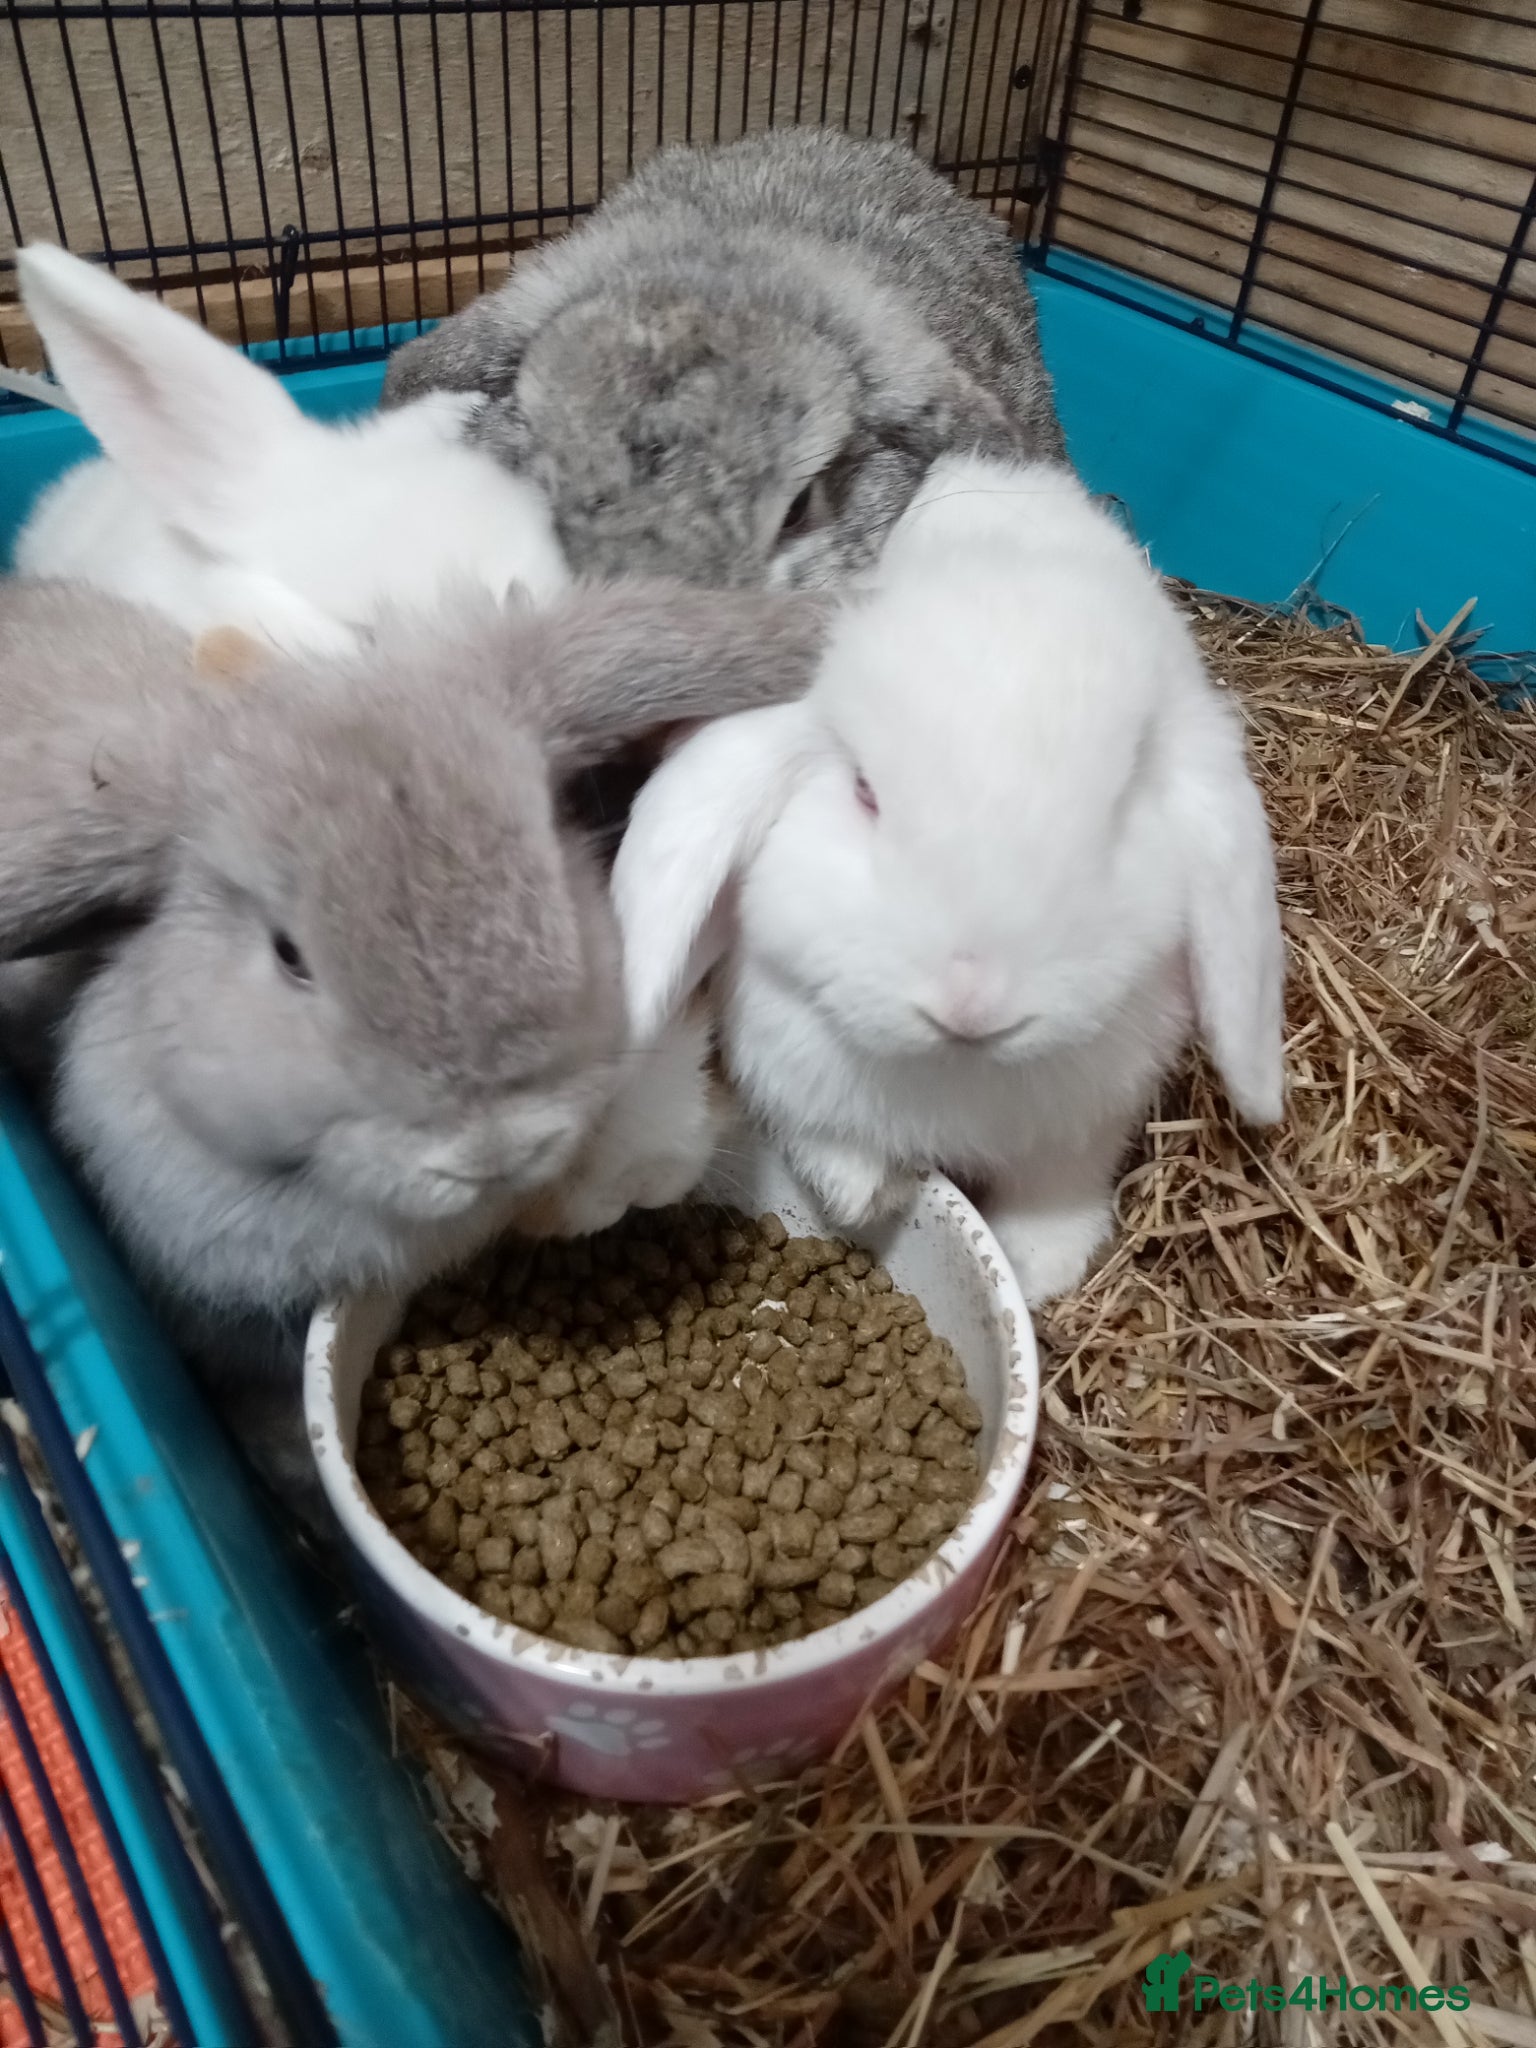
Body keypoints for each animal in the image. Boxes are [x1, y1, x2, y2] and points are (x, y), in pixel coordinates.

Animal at [611, 453, 1286, 1306]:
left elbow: (1056, 1191)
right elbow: (830, 1143)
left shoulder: (1084, 1125)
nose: (973, 1006)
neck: (955, 1073)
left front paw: (1039, 1269)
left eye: (1120, 805)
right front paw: (868, 1194)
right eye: (865, 791)